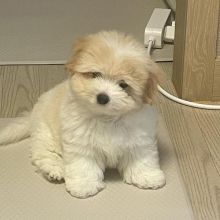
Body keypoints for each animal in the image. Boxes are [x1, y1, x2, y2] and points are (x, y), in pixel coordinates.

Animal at [0, 30, 165, 198]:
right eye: (95, 74)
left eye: (123, 85)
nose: (102, 97)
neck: (106, 118)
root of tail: (32, 114)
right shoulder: (79, 144)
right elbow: (83, 164)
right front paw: (84, 185)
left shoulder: (140, 138)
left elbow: (141, 157)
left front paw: (146, 176)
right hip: (45, 133)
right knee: (43, 153)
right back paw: (54, 170)